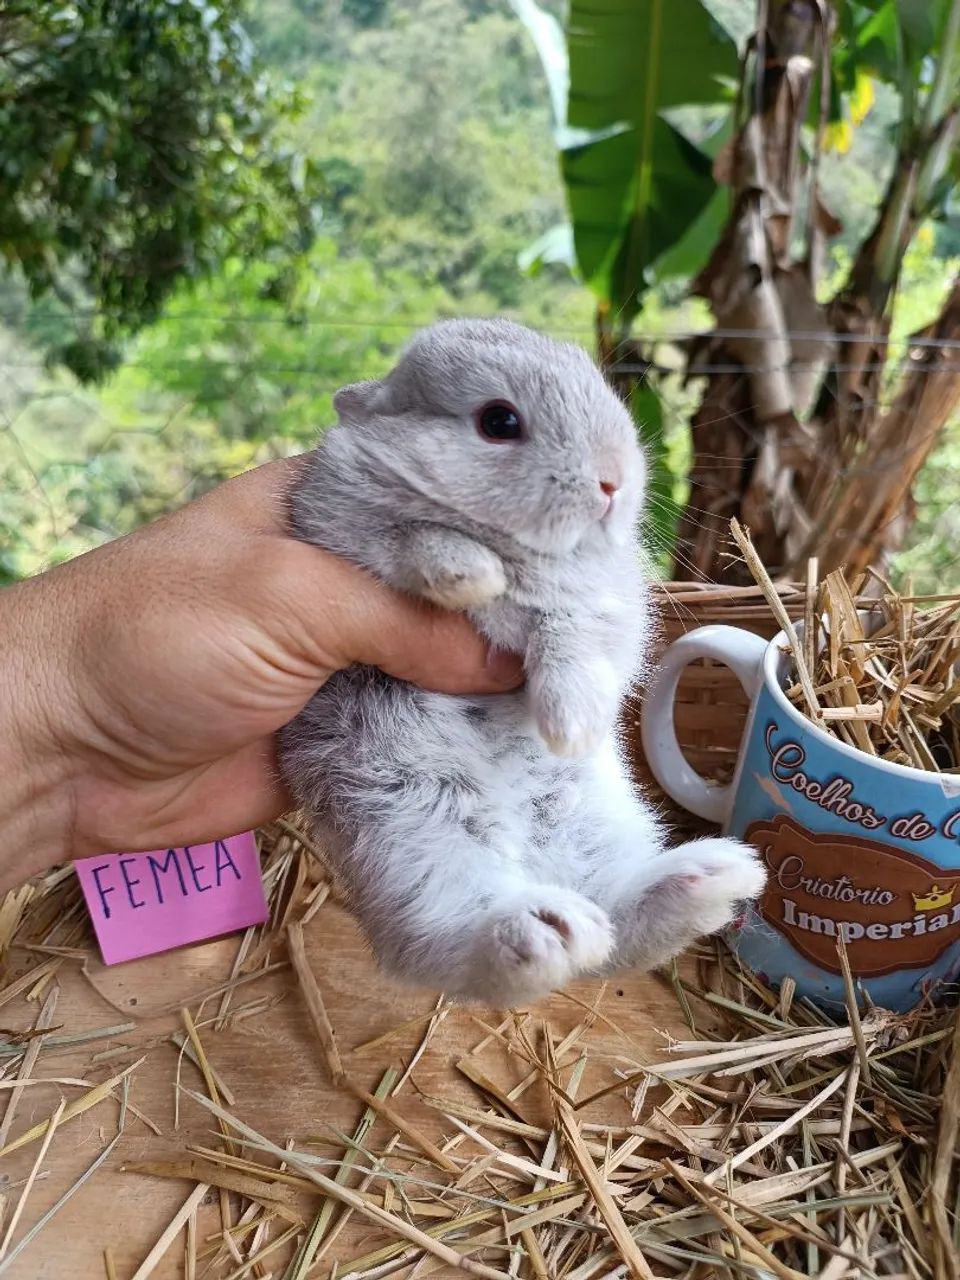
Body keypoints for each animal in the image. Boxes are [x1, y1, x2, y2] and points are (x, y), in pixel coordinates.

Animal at [279, 318, 765, 1006]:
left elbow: (571, 639)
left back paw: (707, 879)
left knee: (614, 924)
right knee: (445, 945)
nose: (613, 481)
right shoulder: (344, 529)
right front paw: (472, 577)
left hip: (592, 820)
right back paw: (544, 930)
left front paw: (571, 725)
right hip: (407, 826)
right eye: (499, 421)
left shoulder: (604, 612)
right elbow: (417, 541)